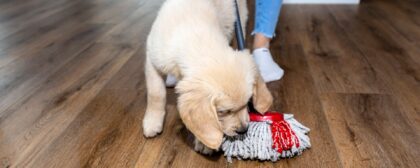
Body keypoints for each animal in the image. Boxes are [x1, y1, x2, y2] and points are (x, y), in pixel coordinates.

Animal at [143, 0, 272, 154]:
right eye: (222, 112)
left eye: (247, 103)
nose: (243, 130)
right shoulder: (152, 58)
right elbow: (156, 94)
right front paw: (152, 121)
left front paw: (205, 144)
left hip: (238, 18)